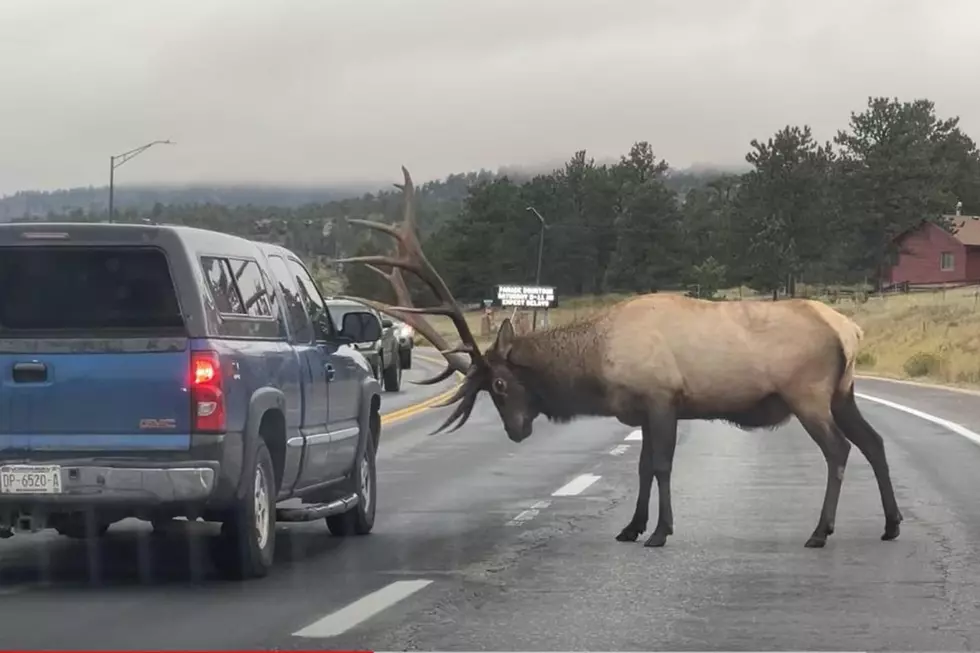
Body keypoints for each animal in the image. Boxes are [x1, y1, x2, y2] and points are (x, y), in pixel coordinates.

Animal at [338, 166, 904, 548]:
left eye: (498, 384)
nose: (516, 432)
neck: (598, 366)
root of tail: (849, 330)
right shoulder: (642, 408)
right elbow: (642, 468)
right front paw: (631, 527)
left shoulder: (661, 397)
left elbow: (661, 465)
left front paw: (660, 531)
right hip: (843, 392)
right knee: (873, 442)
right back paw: (891, 524)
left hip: (807, 393)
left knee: (839, 450)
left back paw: (821, 531)